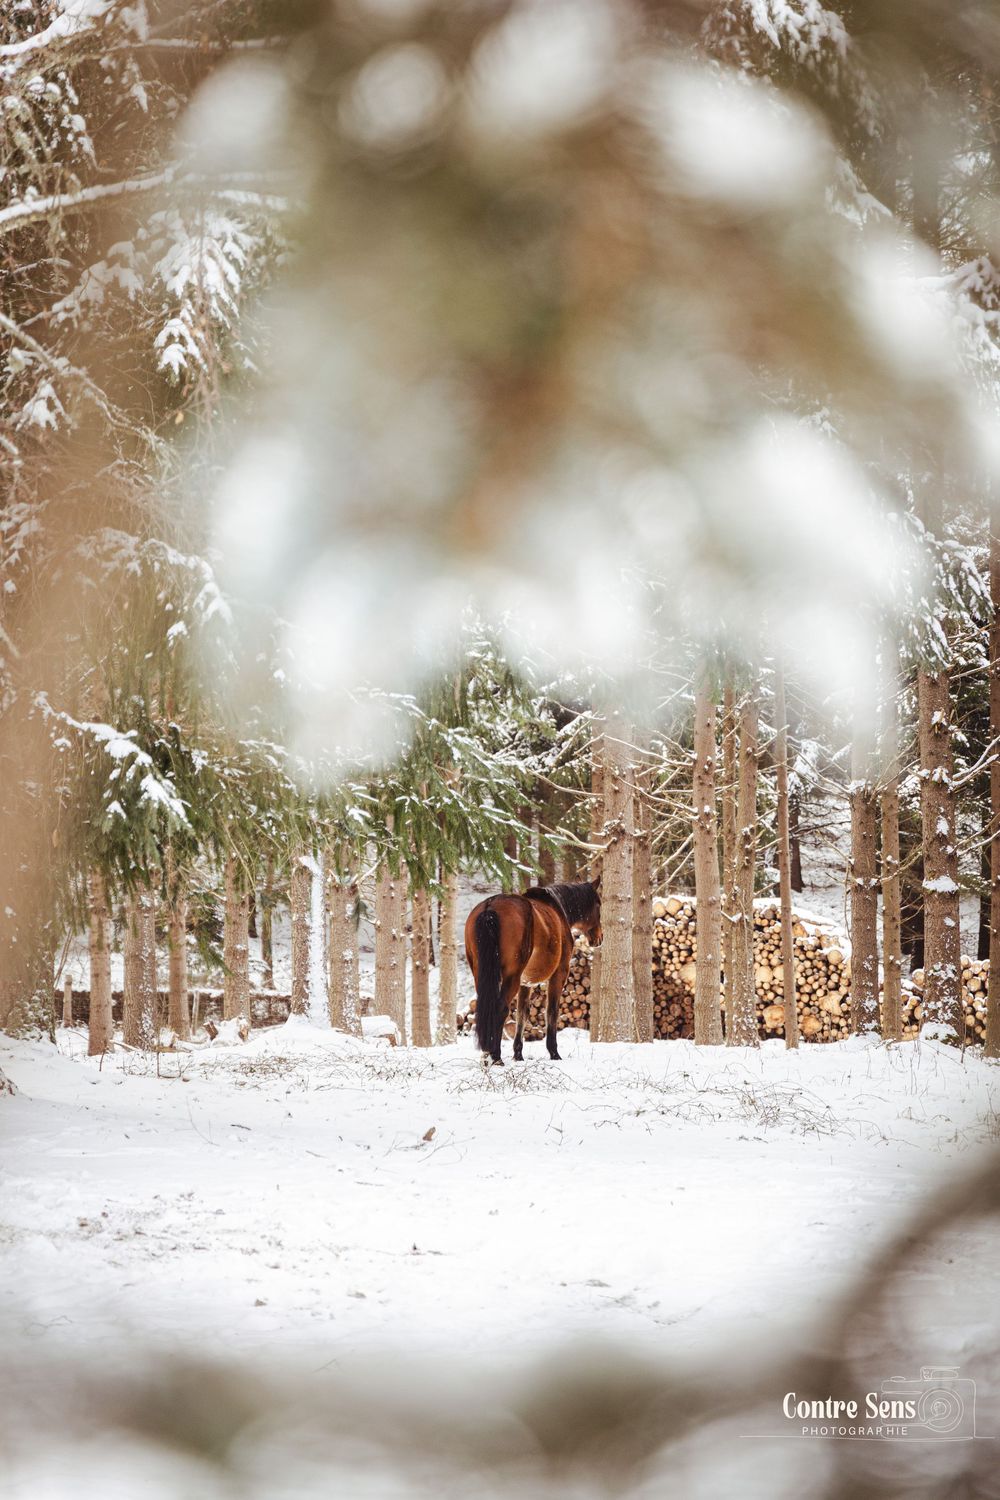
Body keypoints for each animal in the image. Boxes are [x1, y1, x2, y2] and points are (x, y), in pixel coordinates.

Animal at [464, 880, 603, 1064]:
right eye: (598, 904)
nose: (599, 938)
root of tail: (490, 906)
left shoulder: (525, 983)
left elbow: (522, 1014)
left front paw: (518, 1055)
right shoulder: (559, 974)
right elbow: (551, 1011)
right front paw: (554, 1053)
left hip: (482, 975)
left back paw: (487, 1054)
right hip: (511, 977)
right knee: (500, 1009)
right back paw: (496, 1057)